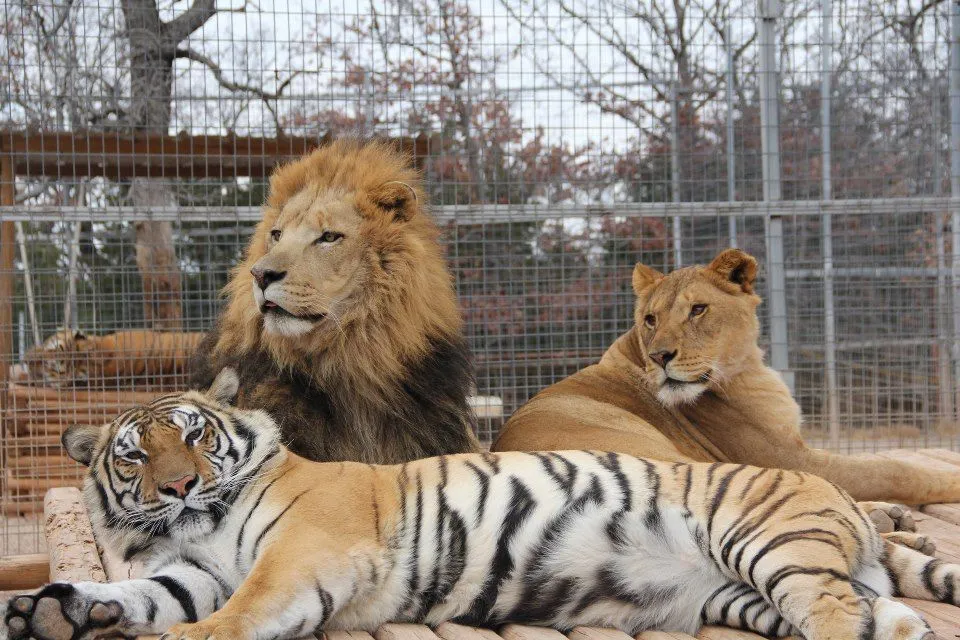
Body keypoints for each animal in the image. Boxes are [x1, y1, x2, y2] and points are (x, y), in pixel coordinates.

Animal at [6, 368, 955, 640]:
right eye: (137, 455)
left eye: (196, 437)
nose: (178, 487)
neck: (204, 526)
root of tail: (841, 496)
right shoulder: (194, 570)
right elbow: (142, 595)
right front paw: (55, 610)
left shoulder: (306, 548)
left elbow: (239, 613)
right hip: (754, 591)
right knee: (884, 618)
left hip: (769, 542)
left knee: (835, 612)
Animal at [494, 248, 960, 506]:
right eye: (650, 319)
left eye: (697, 310)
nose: (660, 356)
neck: (746, 367)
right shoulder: (788, 457)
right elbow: (895, 469)